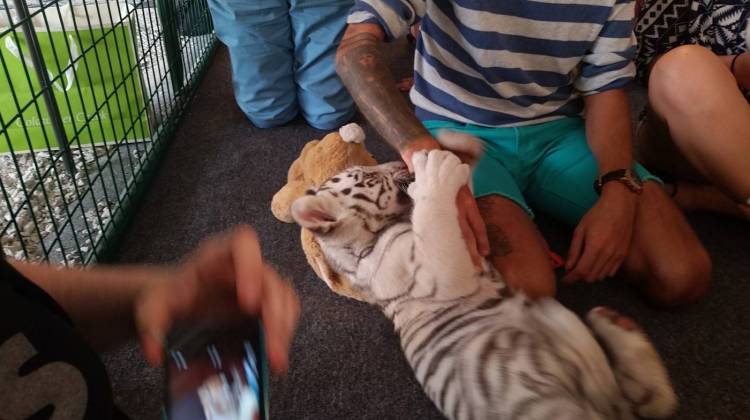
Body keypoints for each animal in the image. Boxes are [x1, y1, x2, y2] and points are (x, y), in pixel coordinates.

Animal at [290, 149, 680, 418]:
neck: (368, 244)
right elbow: (433, 217)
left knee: (645, 400)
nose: (398, 161)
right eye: (367, 178)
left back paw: (615, 325)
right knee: (641, 402)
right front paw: (436, 170)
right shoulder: (437, 273)